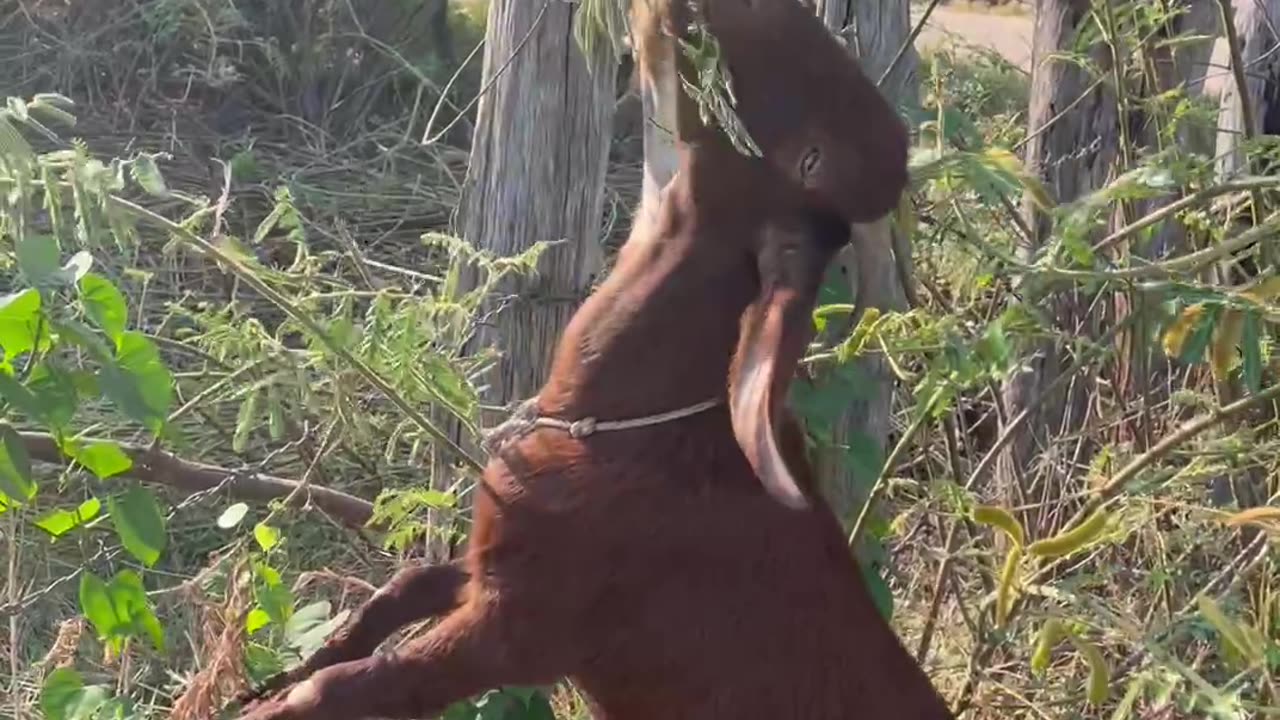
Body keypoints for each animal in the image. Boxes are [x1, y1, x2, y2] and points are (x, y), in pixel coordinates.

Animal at [230, 1, 957, 717]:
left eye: (814, 155)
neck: (623, 428)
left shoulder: (523, 628)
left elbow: (346, 687)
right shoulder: (492, 563)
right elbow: (391, 596)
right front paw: (257, 683)